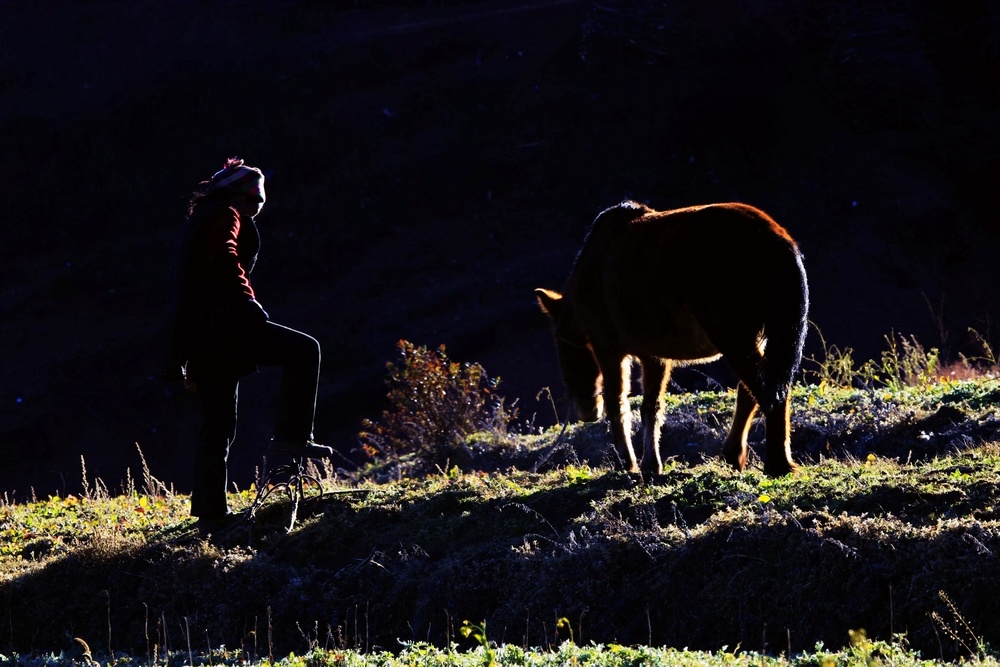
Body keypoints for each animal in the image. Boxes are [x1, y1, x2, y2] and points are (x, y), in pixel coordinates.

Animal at [536, 201, 808, 478]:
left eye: (560, 341)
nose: (587, 411)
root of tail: (776, 239)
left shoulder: (608, 350)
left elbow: (618, 403)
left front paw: (628, 463)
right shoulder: (654, 357)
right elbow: (651, 408)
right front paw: (651, 464)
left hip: (736, 340)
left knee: (767, 392)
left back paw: (776, 463)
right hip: (758, 340)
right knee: (755, 392)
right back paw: (736, 455)